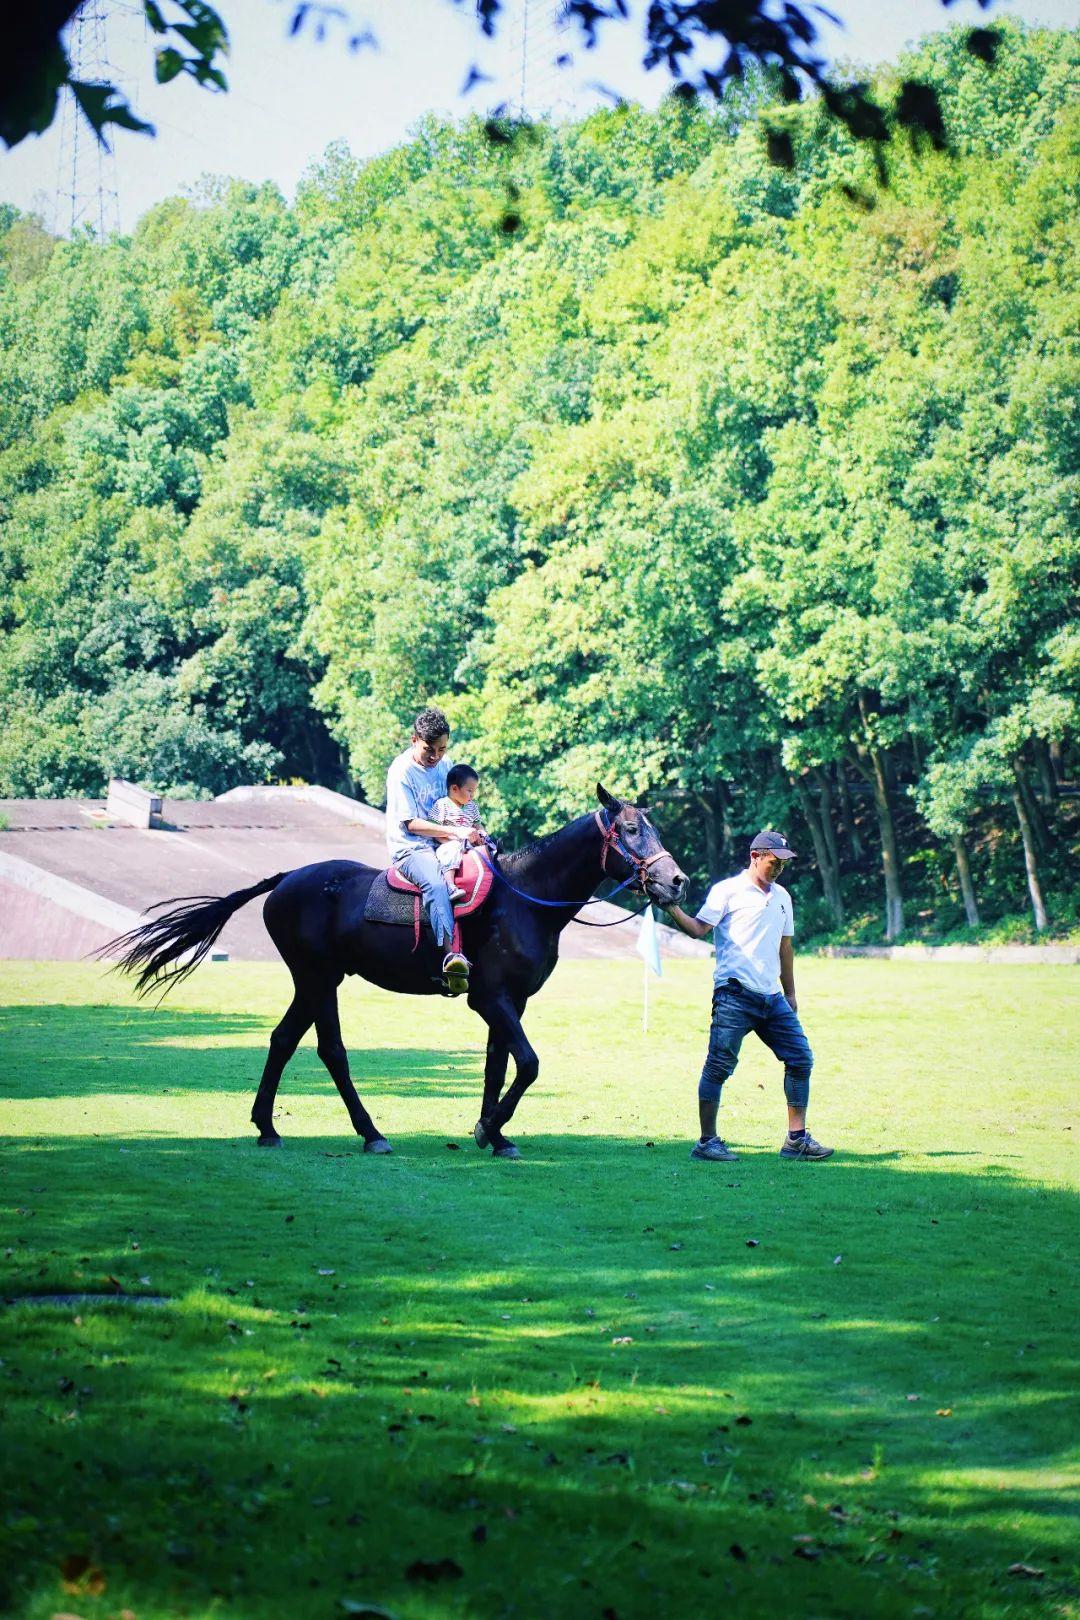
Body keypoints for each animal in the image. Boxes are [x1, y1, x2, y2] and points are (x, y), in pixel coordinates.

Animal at [103, 784, 683, 1153]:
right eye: (631, 829)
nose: (676, 881)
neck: (526, 896)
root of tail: (287, 878)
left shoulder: (510, 1001)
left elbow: (499, 1065)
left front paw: (493, 1133)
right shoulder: (490, 1000)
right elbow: (529, 1063)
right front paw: (489, 1128)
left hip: (315, 981)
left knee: (284, 1039)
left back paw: (267, 1126)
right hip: (318, 979)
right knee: (330, 1051)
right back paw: (370, 1133)